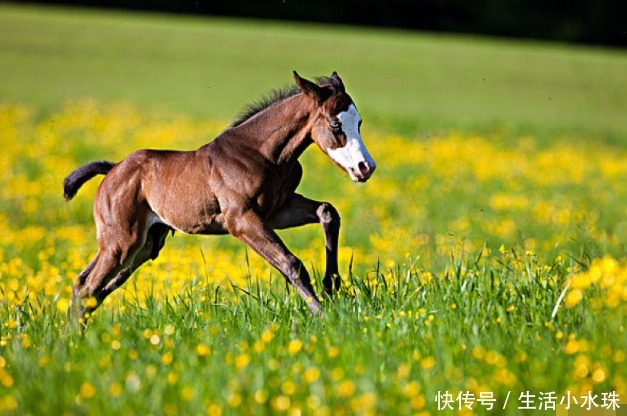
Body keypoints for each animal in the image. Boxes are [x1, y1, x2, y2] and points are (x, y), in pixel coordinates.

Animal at [64, 70, 378, 322]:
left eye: (359, 122)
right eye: (335, 124)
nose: (366, 167)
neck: (263, 154)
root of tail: (112, 171)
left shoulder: (278, 210)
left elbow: (328, 211)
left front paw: (332, 285)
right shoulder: (241, 220)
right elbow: (292, 263)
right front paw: (324, 316)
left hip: (143, 245)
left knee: (89, 286)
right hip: (121, 242)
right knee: (89, 287)